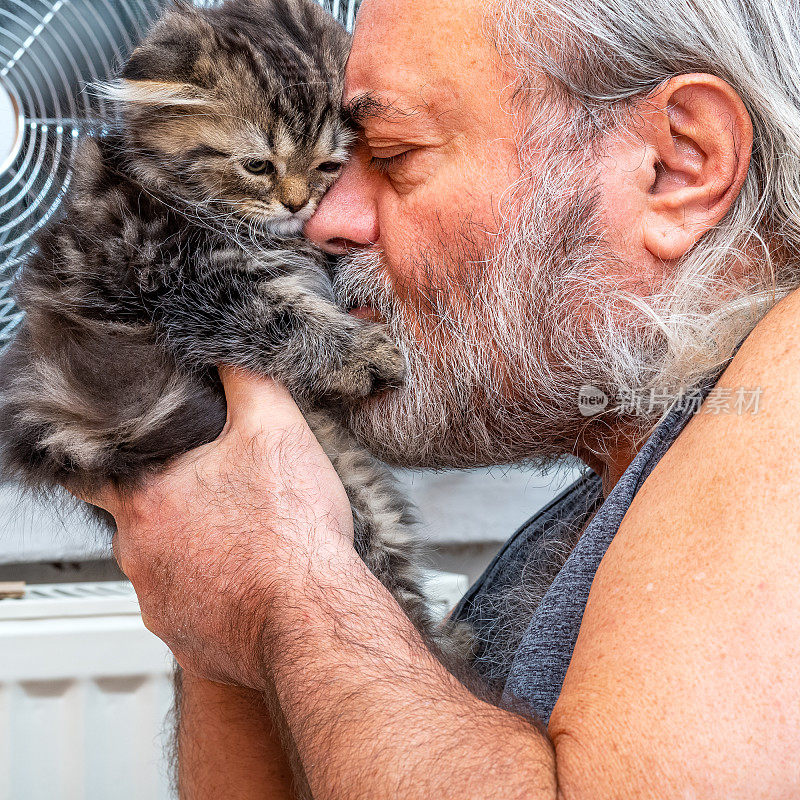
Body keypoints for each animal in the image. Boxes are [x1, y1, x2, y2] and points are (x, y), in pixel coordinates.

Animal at [0, 0, 454, 656]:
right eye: (257, 165)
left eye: (330, 165)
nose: (296, 203)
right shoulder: (180, 283)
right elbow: (275, 314)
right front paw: (357, 352)